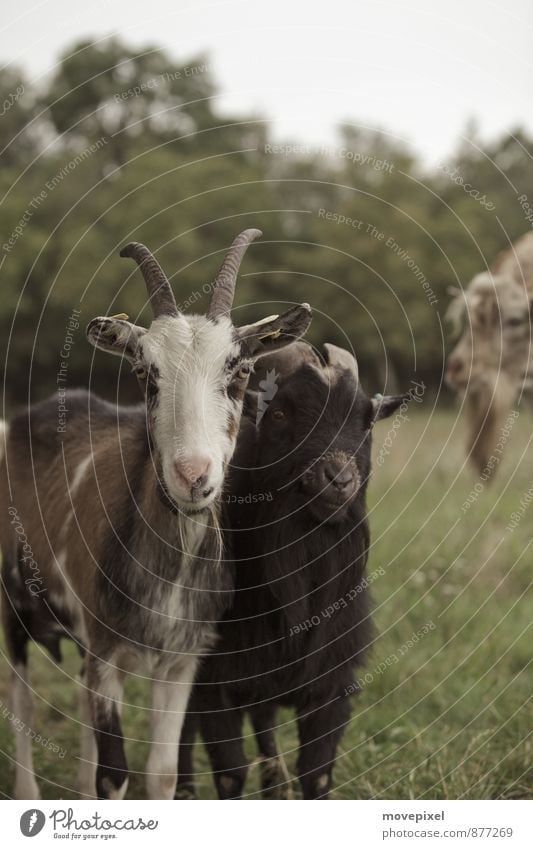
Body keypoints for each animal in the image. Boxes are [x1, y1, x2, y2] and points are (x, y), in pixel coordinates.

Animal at [0, 229, 312, 800]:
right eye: (146, 373)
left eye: (240, 369)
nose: (193, 474)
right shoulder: (107, 650)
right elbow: (114, 774)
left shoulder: (181, 661)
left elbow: (161, 772)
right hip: (14, 602)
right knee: (23, 700)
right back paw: (29, 790)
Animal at [175, 342, 404, 800]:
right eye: (279, 414)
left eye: (366, 421)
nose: (338, 479)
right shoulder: (213, 682)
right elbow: (230, 773)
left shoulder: (330, 685)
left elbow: (316, 776)